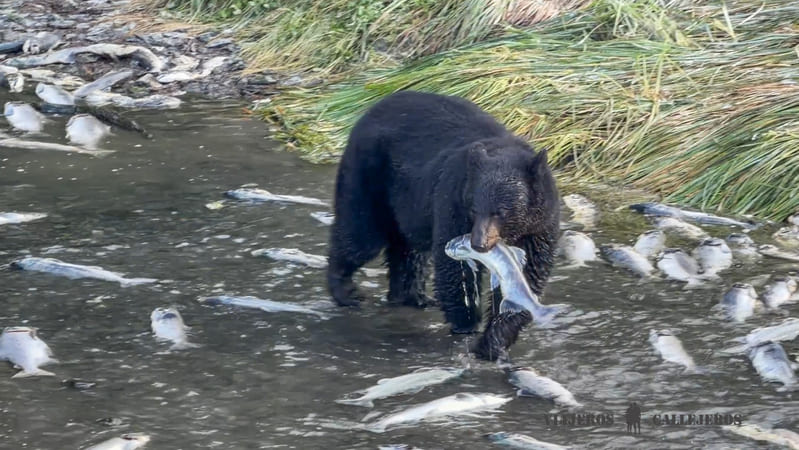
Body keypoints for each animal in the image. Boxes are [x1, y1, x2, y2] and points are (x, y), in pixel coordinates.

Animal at [326, 90, 560, 353]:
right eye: (474, 209)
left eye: (500, 211)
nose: (478, 243)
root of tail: (369, 110)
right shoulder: (453, 200)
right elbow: (455, 270)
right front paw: (467, 326)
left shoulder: (540, 225)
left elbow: (529, 273)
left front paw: (493, 340)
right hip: (369, 176)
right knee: (361, 235)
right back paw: (346, 291)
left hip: (408, 202)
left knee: (407, 250)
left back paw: (412, 296)